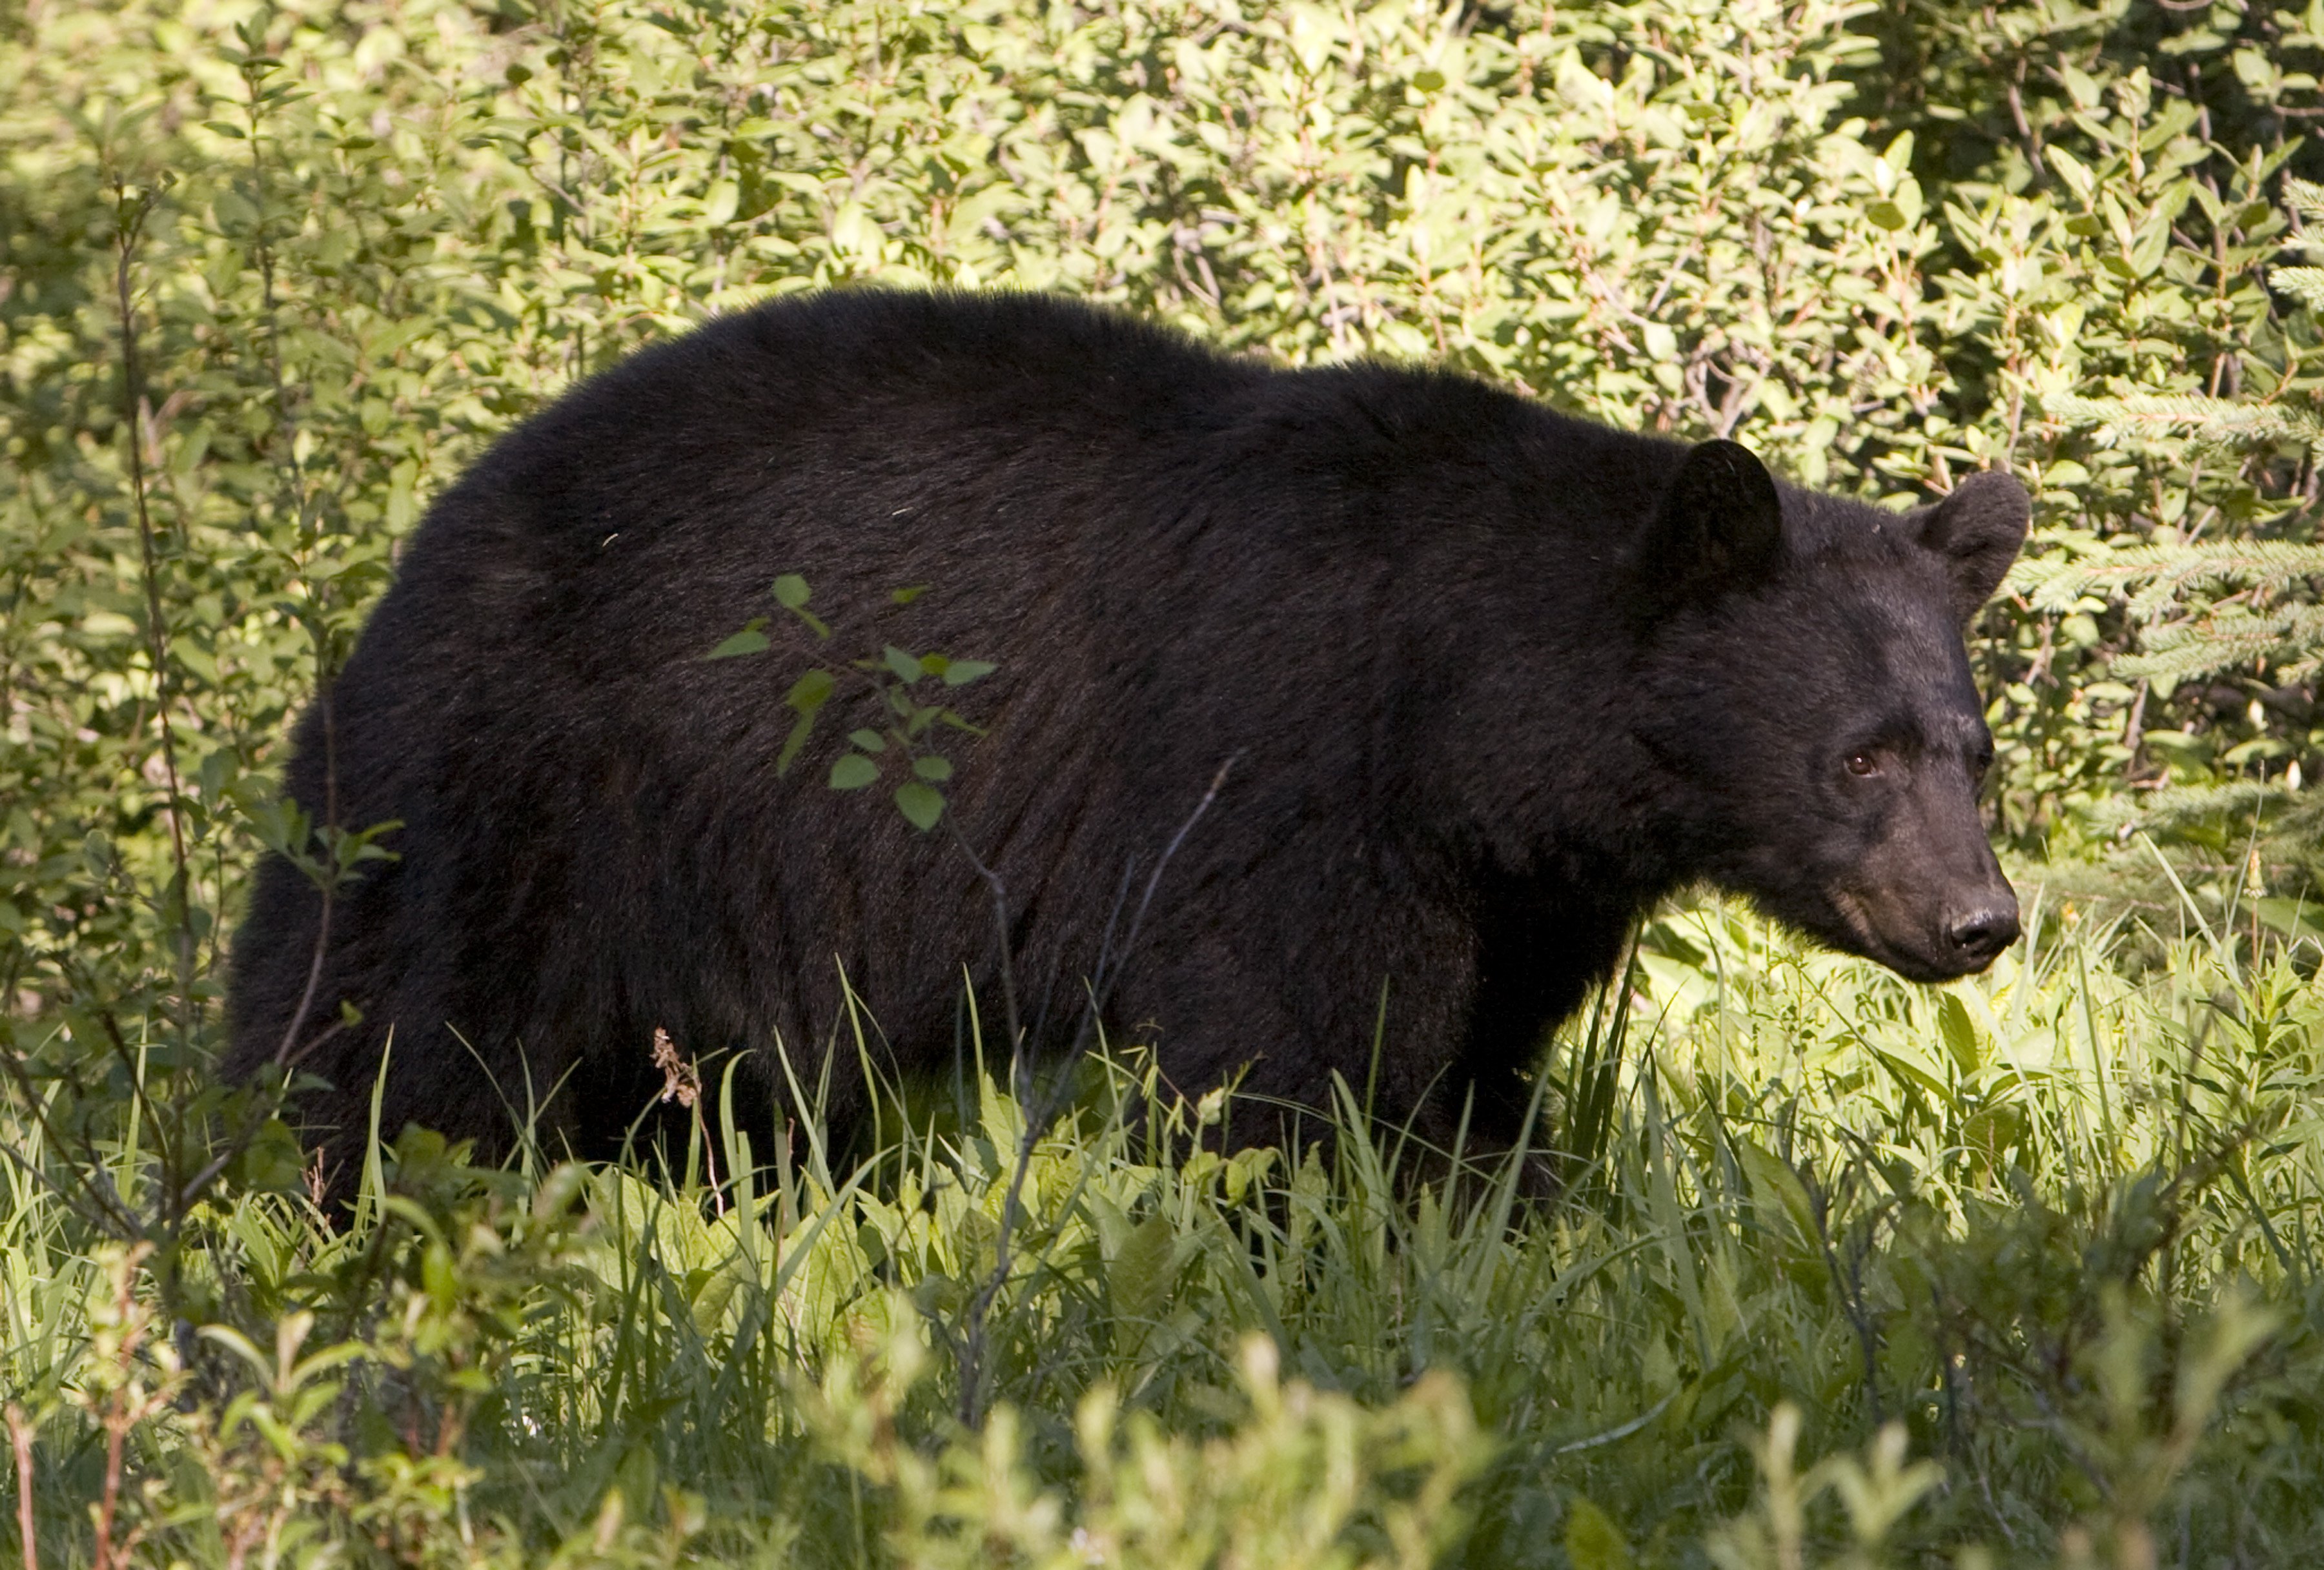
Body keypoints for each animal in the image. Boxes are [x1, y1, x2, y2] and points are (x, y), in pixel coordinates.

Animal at [227, 288, 2026, 1184]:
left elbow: (1468, 1070)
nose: (1978, 920)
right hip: (518, 787)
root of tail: (422, 547)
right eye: (1860, 753)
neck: (1471, 707)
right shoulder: (1283, 785)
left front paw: (1497, 1206)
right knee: (391, 1031)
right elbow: (1286, 1065)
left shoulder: (1517, 889)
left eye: (1971, 750)